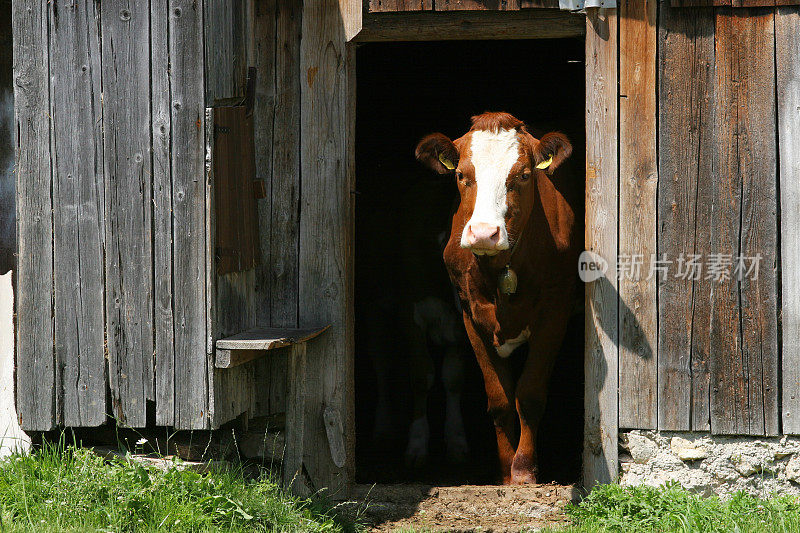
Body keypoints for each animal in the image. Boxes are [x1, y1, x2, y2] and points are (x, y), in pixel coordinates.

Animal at [416, 111, 580, 482]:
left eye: (523, 175)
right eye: (461, 175)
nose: (483, 233)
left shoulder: (556, 311)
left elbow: (529, 394)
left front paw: (524, 471)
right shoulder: (470, 316)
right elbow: (499, 398)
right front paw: (505, 472)